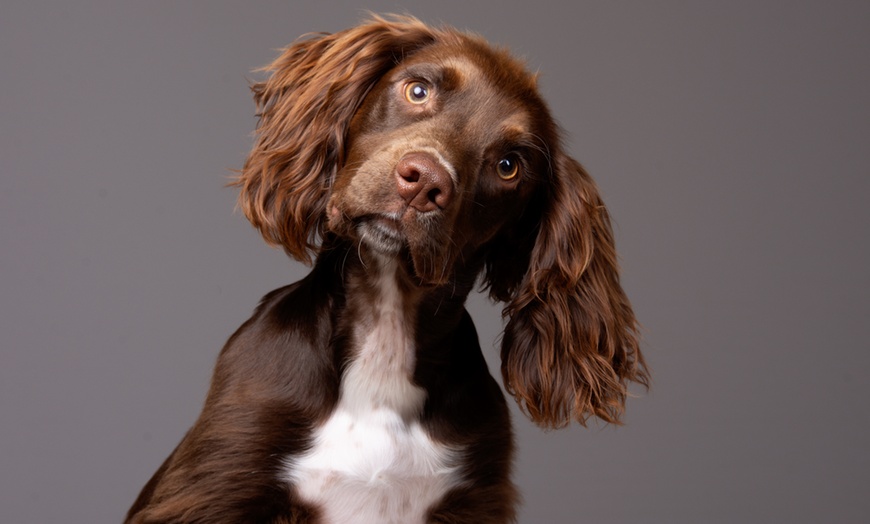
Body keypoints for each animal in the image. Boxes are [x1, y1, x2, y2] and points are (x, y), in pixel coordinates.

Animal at [127, 14, 648, 520]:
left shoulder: (475, 496)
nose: (423, 183)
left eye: (508, 166)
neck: (384, 333)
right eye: (417, 90)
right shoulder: (220, 477)